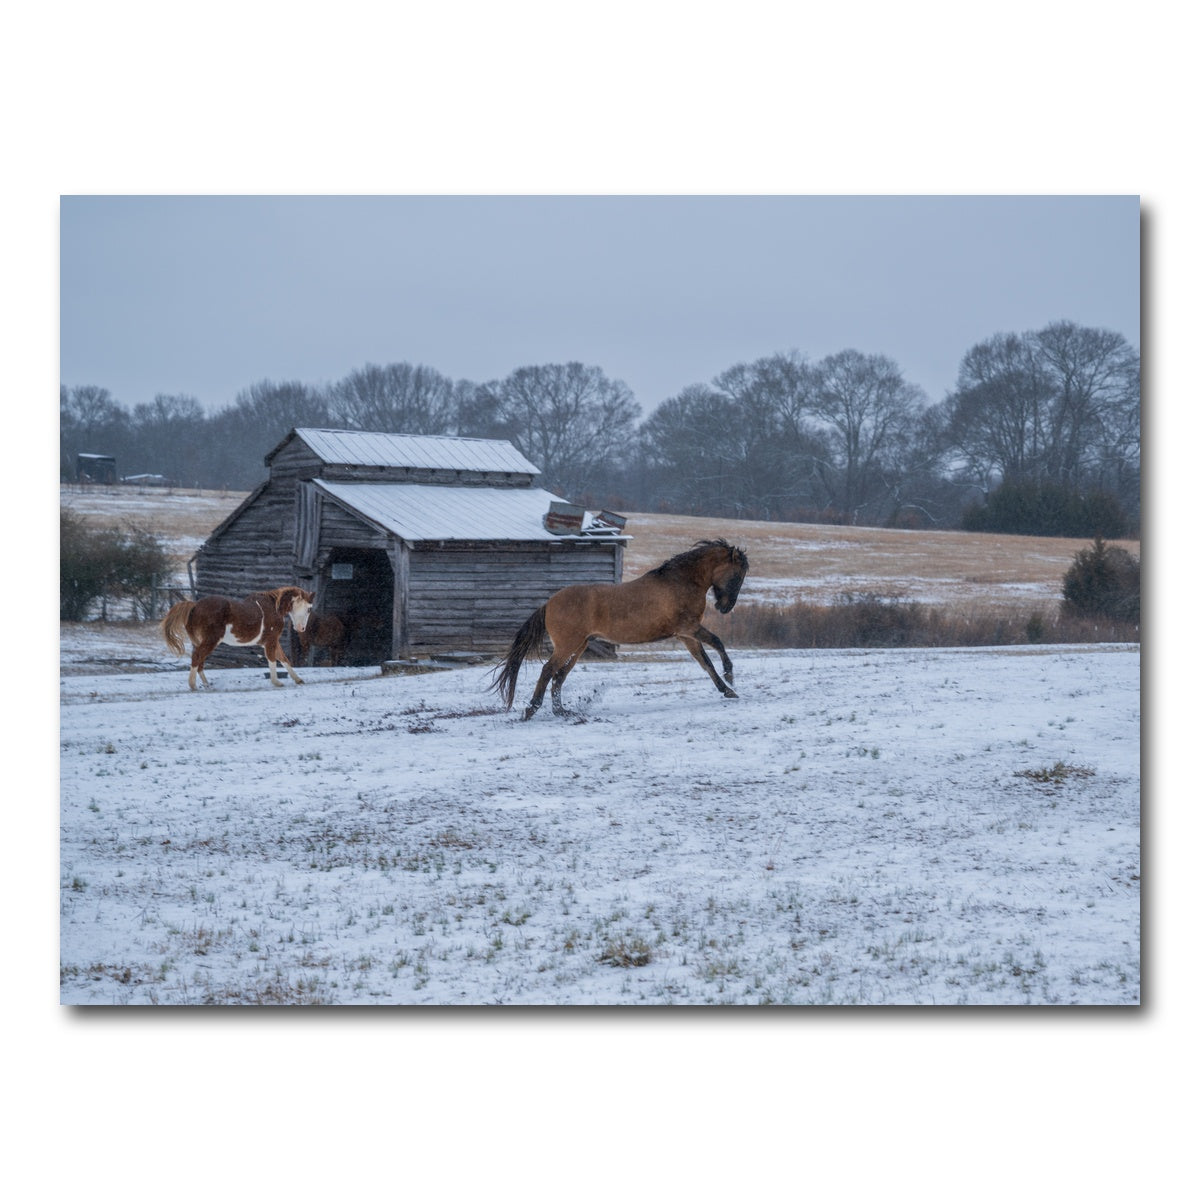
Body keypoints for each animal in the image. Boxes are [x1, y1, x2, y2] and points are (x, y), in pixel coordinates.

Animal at [160, 586, 314, 690]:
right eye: (308, 609)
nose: (301, 629)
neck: (274, 608)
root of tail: (195, 606)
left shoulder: (271, 641)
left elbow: (284, 659)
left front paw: (298, 679)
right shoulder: (271, 640)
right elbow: (272, 660)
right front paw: (276, 682)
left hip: (201, 641)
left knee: (199, 661)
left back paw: (207, 684)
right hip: (211, 640)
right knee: (197, 657)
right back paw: (193, 685)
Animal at [491, 538, 749, 720]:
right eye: (738, 575)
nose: (725, 607)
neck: (680, 582)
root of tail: (549, 604)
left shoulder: (686, 635)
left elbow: (705, 662)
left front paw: (727, 690)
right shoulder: (689, 628)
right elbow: (717, 643)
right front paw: (730, 676)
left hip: (579, 646)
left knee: (559, 675)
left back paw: (562, 712)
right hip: (568, 645)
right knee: (548, 671)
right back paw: (531, 710)